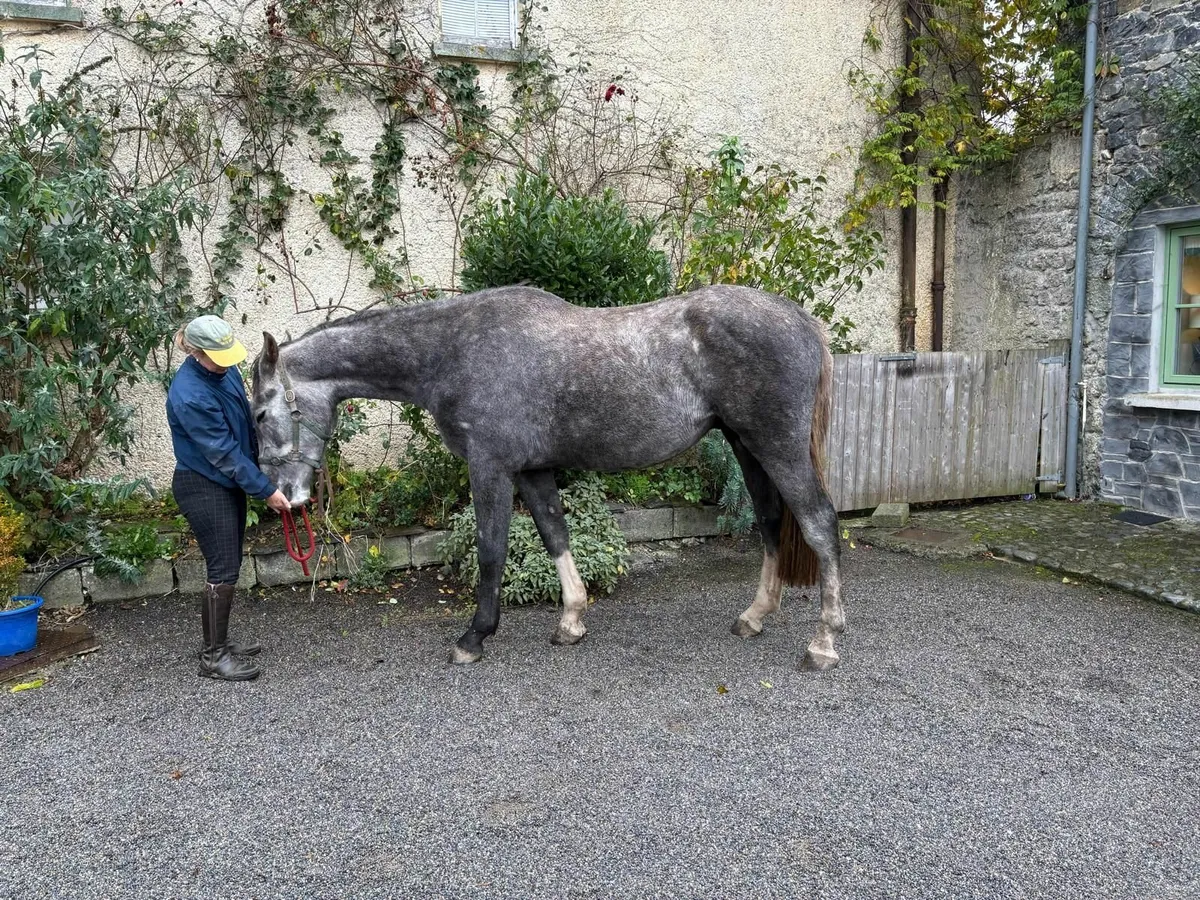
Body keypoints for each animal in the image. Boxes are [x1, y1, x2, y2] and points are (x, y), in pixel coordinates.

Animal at [250, 284, 845, 670]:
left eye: (258, 413)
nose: (283, 499)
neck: (453, 349)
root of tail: (803, 321)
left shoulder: (489, 465)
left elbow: (493, 550)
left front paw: (474, 637)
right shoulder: (531, 469)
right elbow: (554, 532)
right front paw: (571, 621)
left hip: (777, 448)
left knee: (819, 523)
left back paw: (824, 641)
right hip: (748, 447)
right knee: (771, 522)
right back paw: (755, 616)